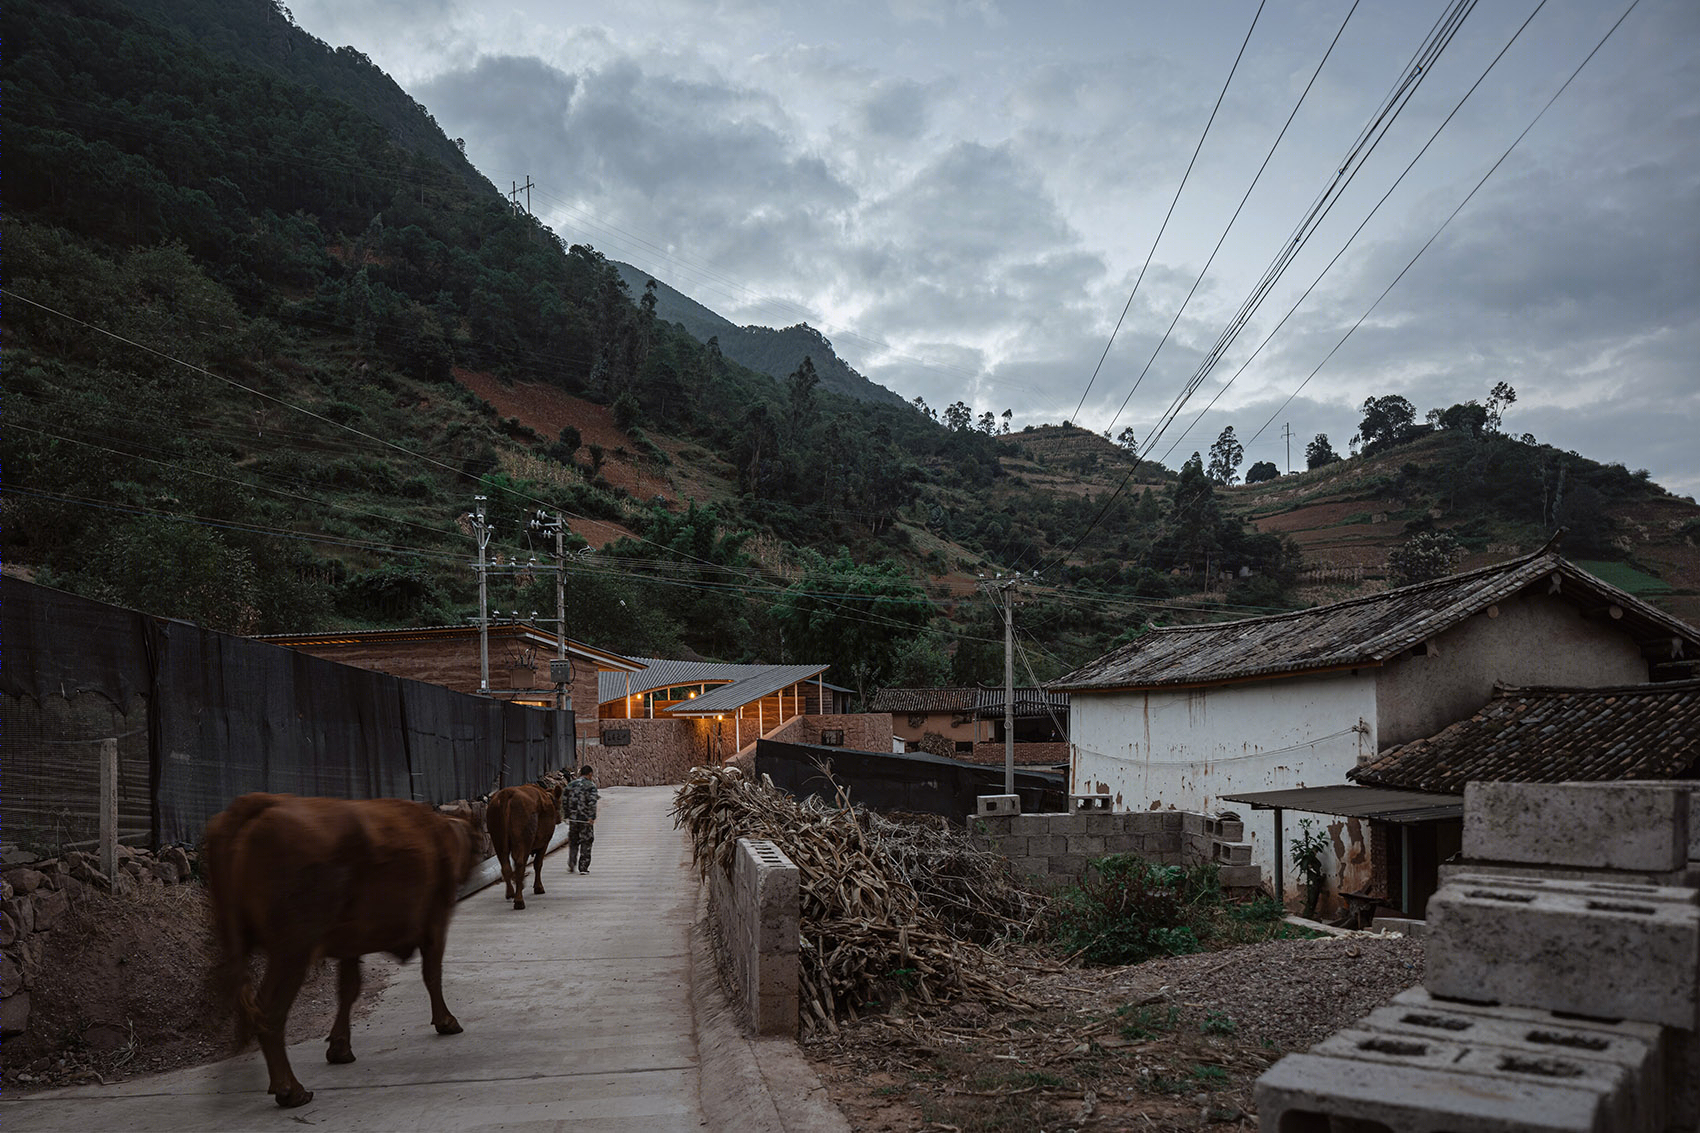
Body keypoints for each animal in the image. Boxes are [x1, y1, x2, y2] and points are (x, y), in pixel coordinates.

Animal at [204, 789, 479, 1095]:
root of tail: (262, 803)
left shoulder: (352, 943)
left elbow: (349, 988)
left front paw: (339, 1048)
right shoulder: (436, 919)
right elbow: (432, 972)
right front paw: (447, 1021)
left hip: (237, 942)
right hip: (292, 951)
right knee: (269, 1010)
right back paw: (290, 1089)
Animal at [486, 775, 564, 911]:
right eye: (559, 805)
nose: (559, 819)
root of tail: (507, 793)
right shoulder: (545, 842)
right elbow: (538, 864)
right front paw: (538, 887)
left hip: (498, 840)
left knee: (505, 865)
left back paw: (510, 893)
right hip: (523, 840)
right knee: (520, 865)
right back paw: (519, 900)